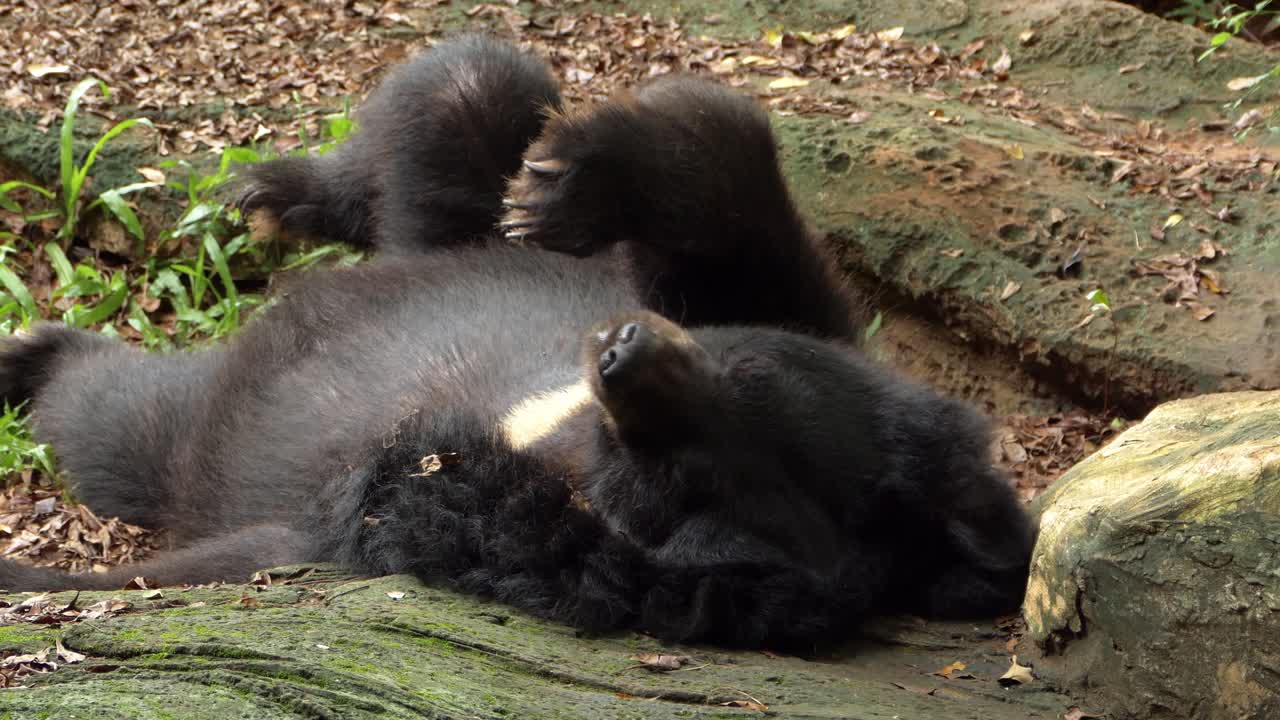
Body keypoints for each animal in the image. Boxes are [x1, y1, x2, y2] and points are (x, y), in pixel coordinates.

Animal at [0, 35, 1034, 650]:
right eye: (743, 370)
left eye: (673, 484)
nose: (620, 353)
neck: (546, 430)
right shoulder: (789, 308)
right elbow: (725, 178)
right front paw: (572, 177)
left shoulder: (393, 505)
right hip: (445, 227)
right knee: (465, 92)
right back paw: (284, 196)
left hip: (215, 441)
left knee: (122, 422)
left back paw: (35, 355)